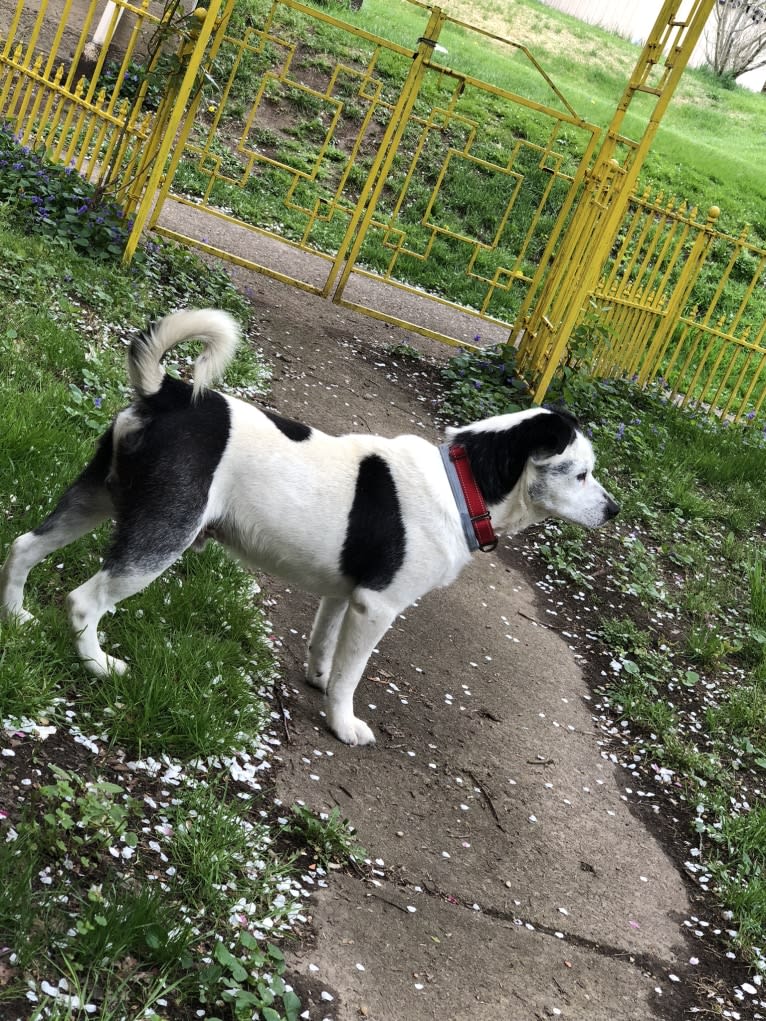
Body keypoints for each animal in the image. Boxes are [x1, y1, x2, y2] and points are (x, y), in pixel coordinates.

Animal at [0, 306, 616, 747]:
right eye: (582, 473)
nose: (613, 511)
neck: (461, 483)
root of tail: (167, 391)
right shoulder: (377, 606)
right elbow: (351, 676)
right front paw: (342, 724)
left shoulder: (343, 595)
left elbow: (325, 650)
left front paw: (317, 680)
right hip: (161, 536)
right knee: (84, 600)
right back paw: (97, 664)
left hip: (98, 498)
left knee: (24, 546)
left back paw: (17, 617)